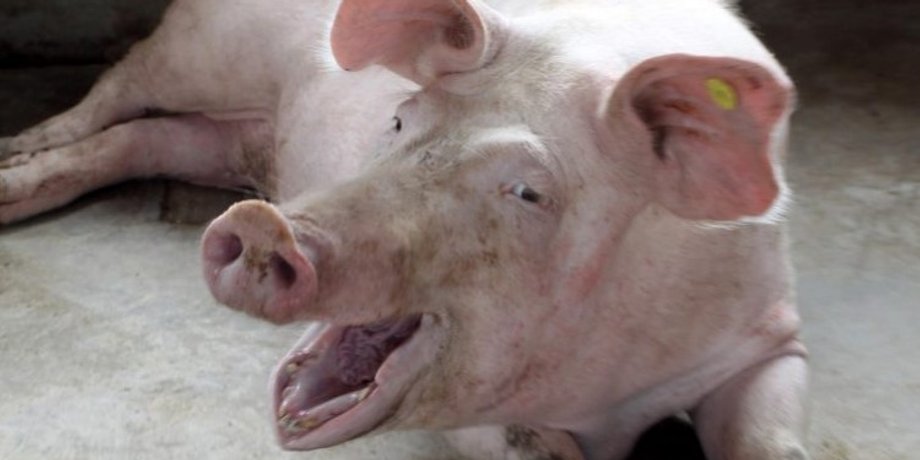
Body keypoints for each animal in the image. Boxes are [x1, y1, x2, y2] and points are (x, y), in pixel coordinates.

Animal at [0, 0, 809, 459]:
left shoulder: (769, 332)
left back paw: (12, 187)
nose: (264, 226)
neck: (607, 394)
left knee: (144, 140)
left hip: (236, 136)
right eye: (398, 120)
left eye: (528, 191)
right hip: (202, 51)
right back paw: (19, 148)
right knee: (119, 87)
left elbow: (769, 439)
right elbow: (529, 445)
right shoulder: (483, 417)